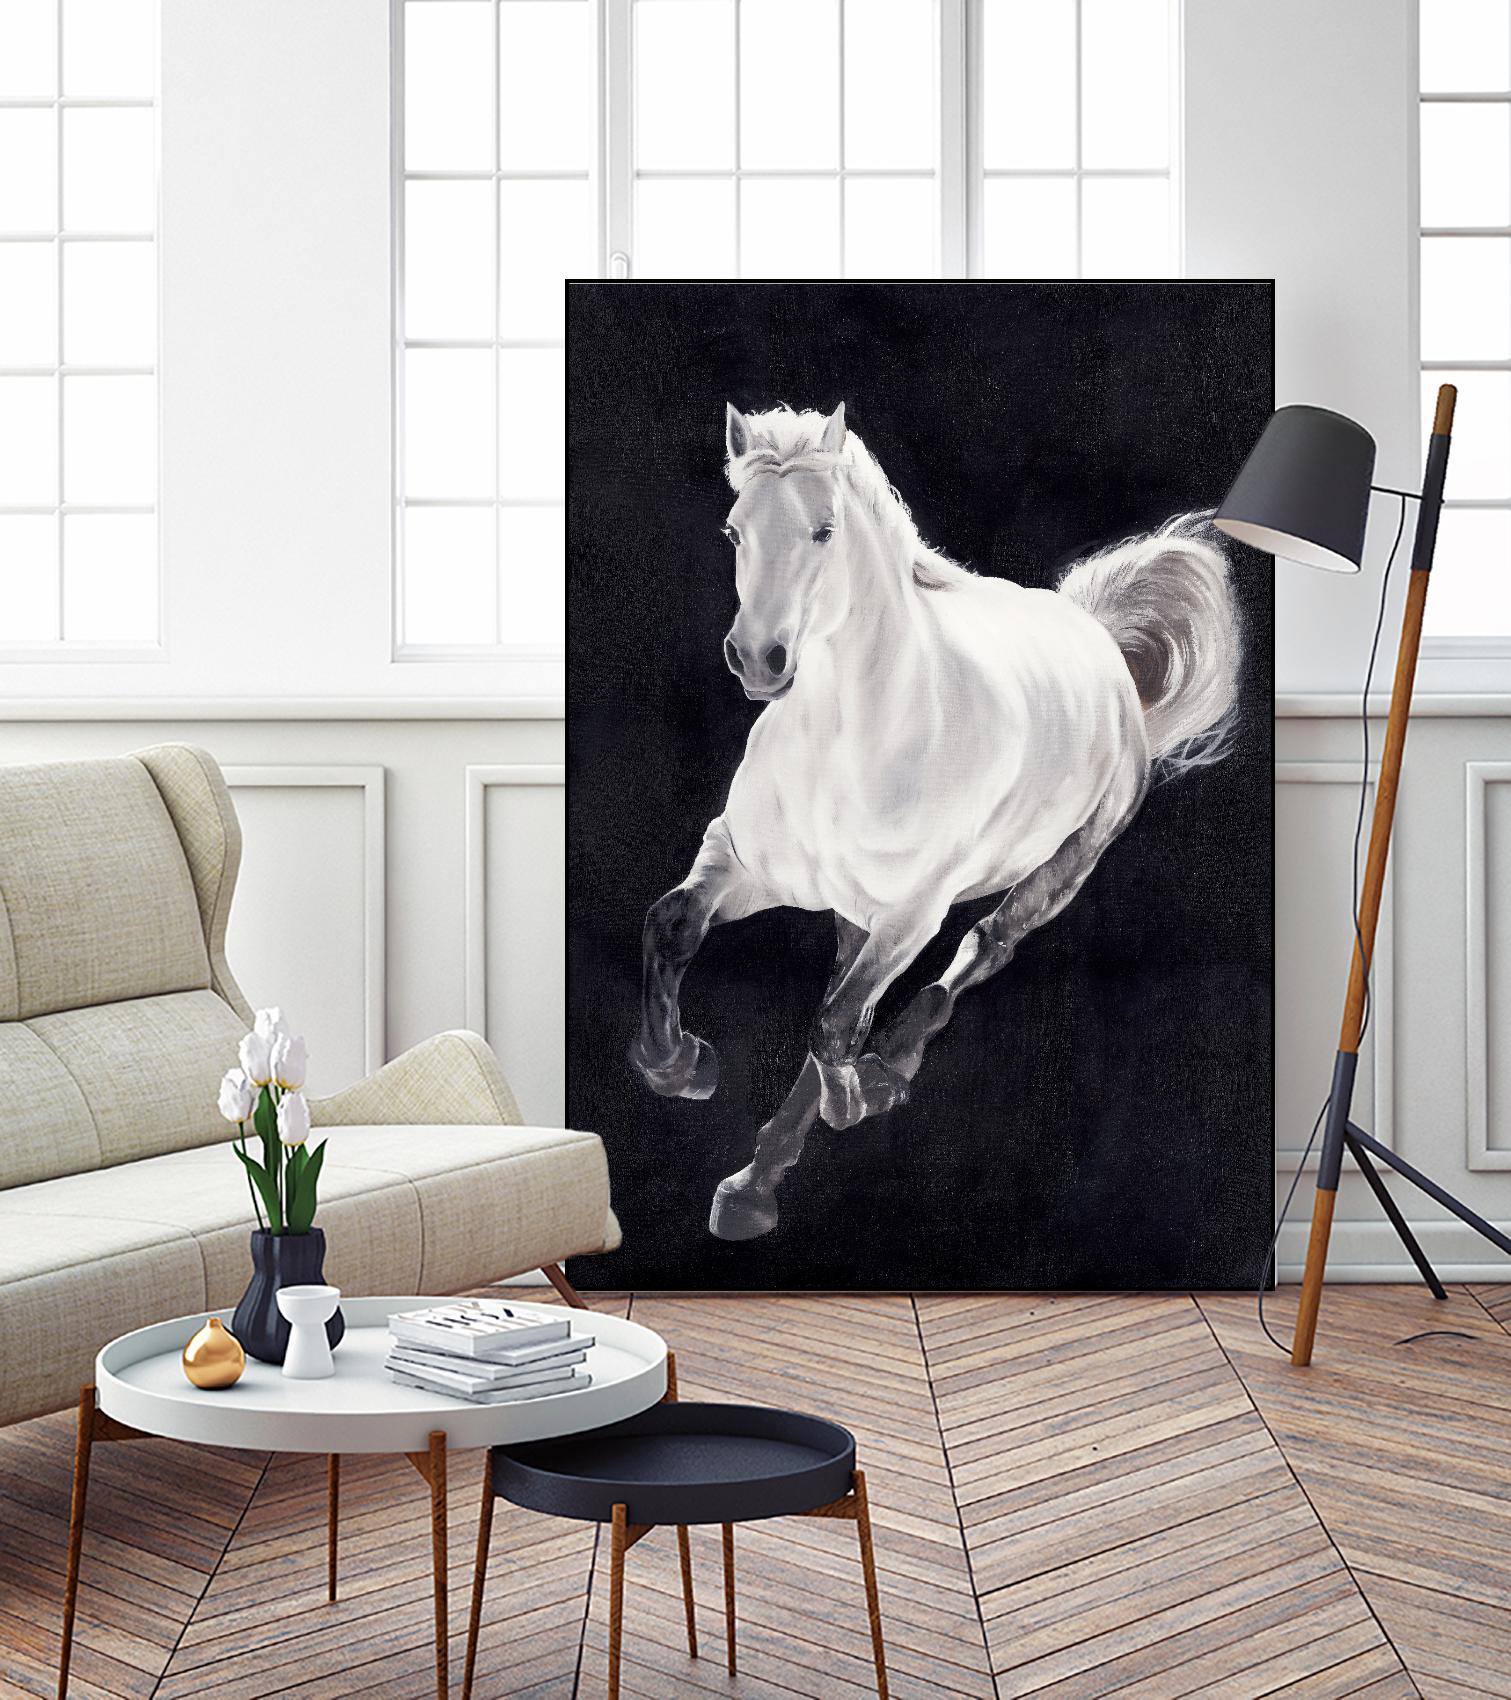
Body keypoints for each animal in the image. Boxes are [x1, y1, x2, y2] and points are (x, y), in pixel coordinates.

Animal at [630, 401, 1242, 1242]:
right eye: (733, 530)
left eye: (824, 530)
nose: (758, 659)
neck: (847, 745)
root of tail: (1095, 639)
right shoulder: (744, 864)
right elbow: (675, 927)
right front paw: (681, 1066)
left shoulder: (913, 913)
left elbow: (833, 1026)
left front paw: (859, 1096)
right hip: (856, 903)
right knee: (846, 985)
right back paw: (758, 1180)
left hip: (1064, 865)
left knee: (981, 948)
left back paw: (885, 1069)